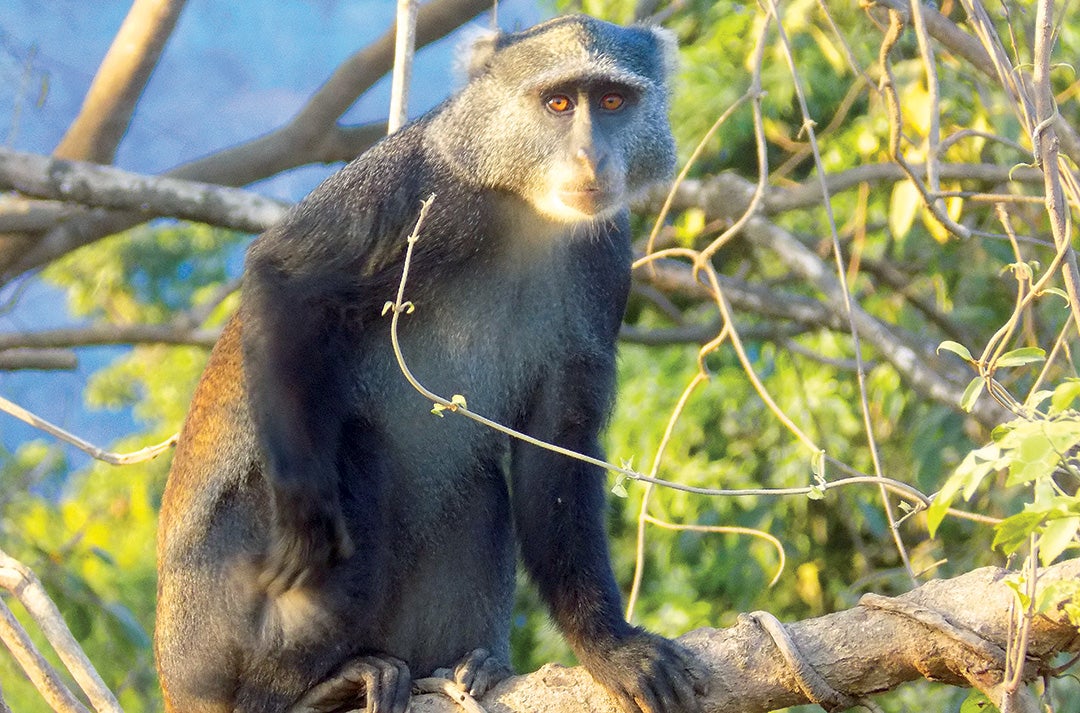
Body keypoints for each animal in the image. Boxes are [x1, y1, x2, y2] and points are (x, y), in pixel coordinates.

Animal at [156, 12, 704, 713]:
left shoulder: (606, 258)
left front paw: (611, 647)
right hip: (224, 617)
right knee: (359, 456)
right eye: (558, 103)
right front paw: (307, 520)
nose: (591, 155)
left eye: (612, 102)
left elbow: (556, 448)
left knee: (480, 488)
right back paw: (307, 687)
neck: (525, 208)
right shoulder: (416, 190)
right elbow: (285, 277)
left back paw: (470, 667)